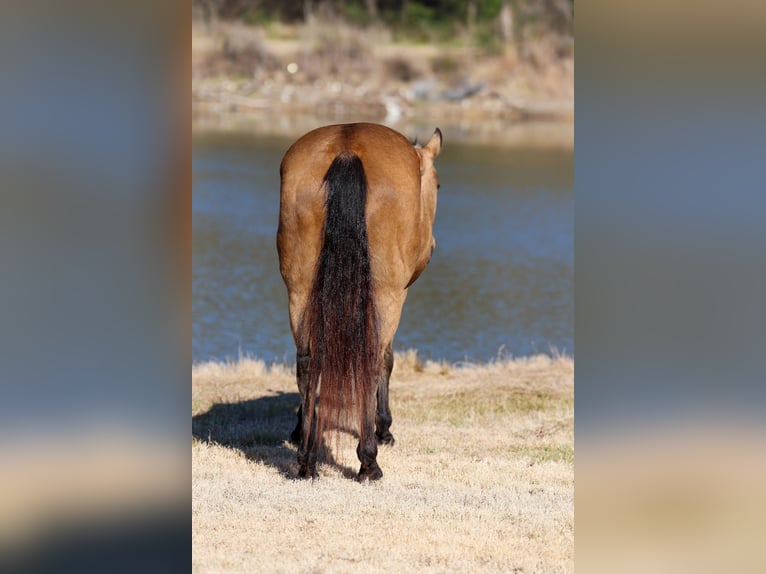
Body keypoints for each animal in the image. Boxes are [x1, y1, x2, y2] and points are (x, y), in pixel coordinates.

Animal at [277, 122, 442, 481]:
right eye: (438, 184)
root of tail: (347, 149)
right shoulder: (396, 296)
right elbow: (386, 360)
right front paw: (384, 429)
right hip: (386, 294)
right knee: (371, 359)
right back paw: (369, 462)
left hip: (299, 290)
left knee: (307, 363)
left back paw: (307, 460)